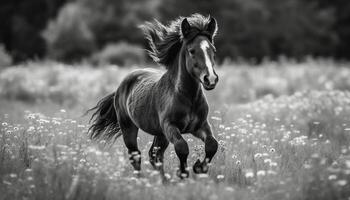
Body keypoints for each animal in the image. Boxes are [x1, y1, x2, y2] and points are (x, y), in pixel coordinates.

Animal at [87, 13, 219, 178]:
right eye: (192, 50)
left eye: (213, 50)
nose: (211, 79)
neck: (188, 98)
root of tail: (121, 86)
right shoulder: (170, 126)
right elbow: (182, 147)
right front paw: (183, 172)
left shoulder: (200, 126)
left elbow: (212, 145)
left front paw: (199, 168)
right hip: (129, 127)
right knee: (136, 155)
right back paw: (140, 180)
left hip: (160, 134)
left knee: (155, 156)